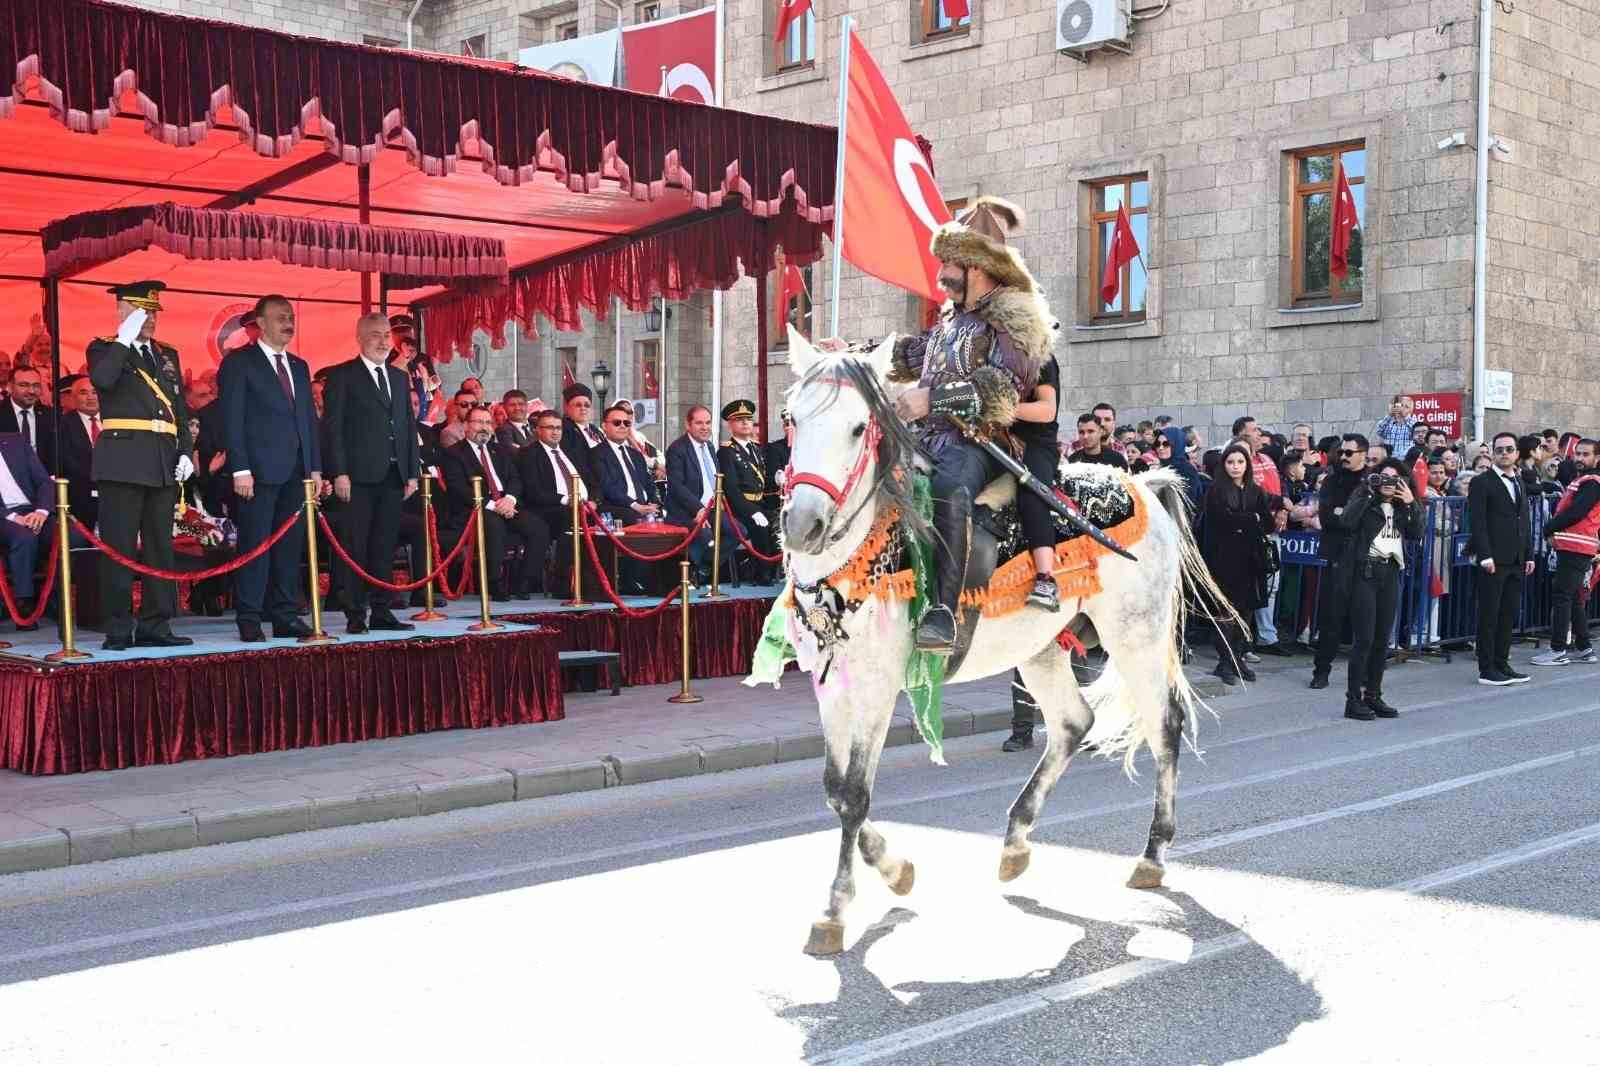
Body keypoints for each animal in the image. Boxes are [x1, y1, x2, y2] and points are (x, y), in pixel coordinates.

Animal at [761, 332, 1222, 953]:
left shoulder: (878, 687)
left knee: (1163, 724)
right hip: (1043, 649)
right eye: (792, 418)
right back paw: (1015, 843)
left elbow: (855, 792)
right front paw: (896, 871)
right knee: (1073, 722)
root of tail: (1141, 483)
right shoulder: (830, 681)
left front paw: (834, 911)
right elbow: (836, 789)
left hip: (1136, 635)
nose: (802, 524)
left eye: (859, 427)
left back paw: (1152, 855)